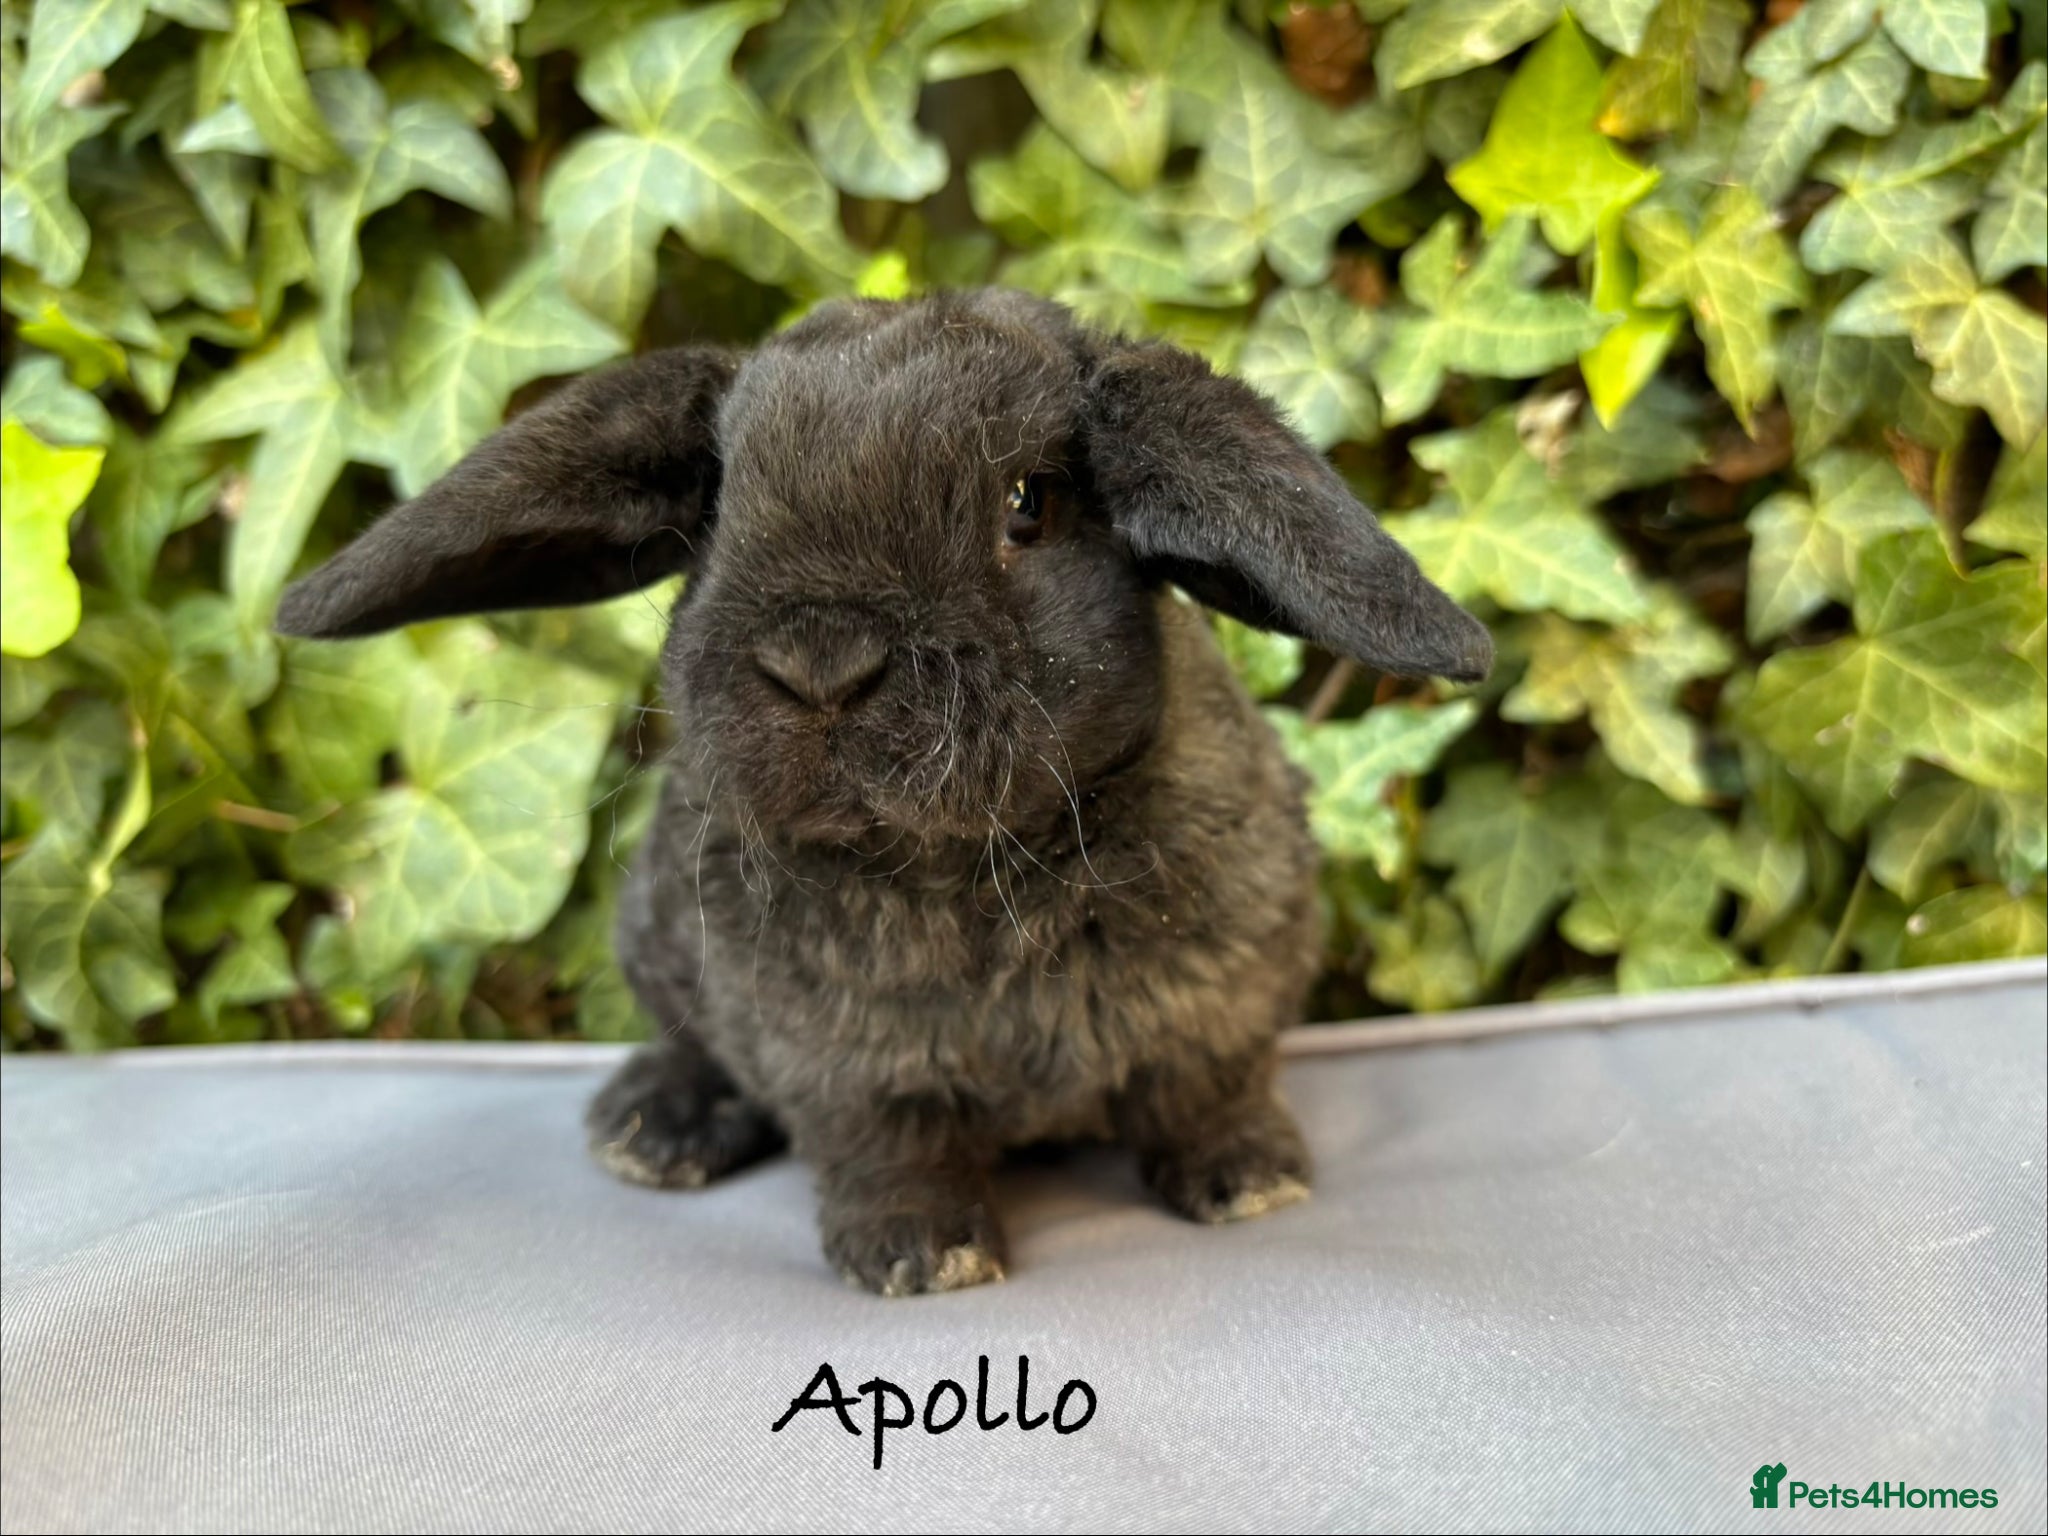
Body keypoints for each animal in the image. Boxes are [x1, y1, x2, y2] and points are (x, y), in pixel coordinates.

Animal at [276, 288, 1493, 1296]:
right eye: (716, 514)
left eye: (1028, 502)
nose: (820, 661)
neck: (966, 862)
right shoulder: (832, 1060)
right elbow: (885, 1144)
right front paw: (918, 1255)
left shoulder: (1230, 998)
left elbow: (1207, 1090)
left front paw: (1250, 1178)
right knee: (689, 1041)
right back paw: (656, 1127)